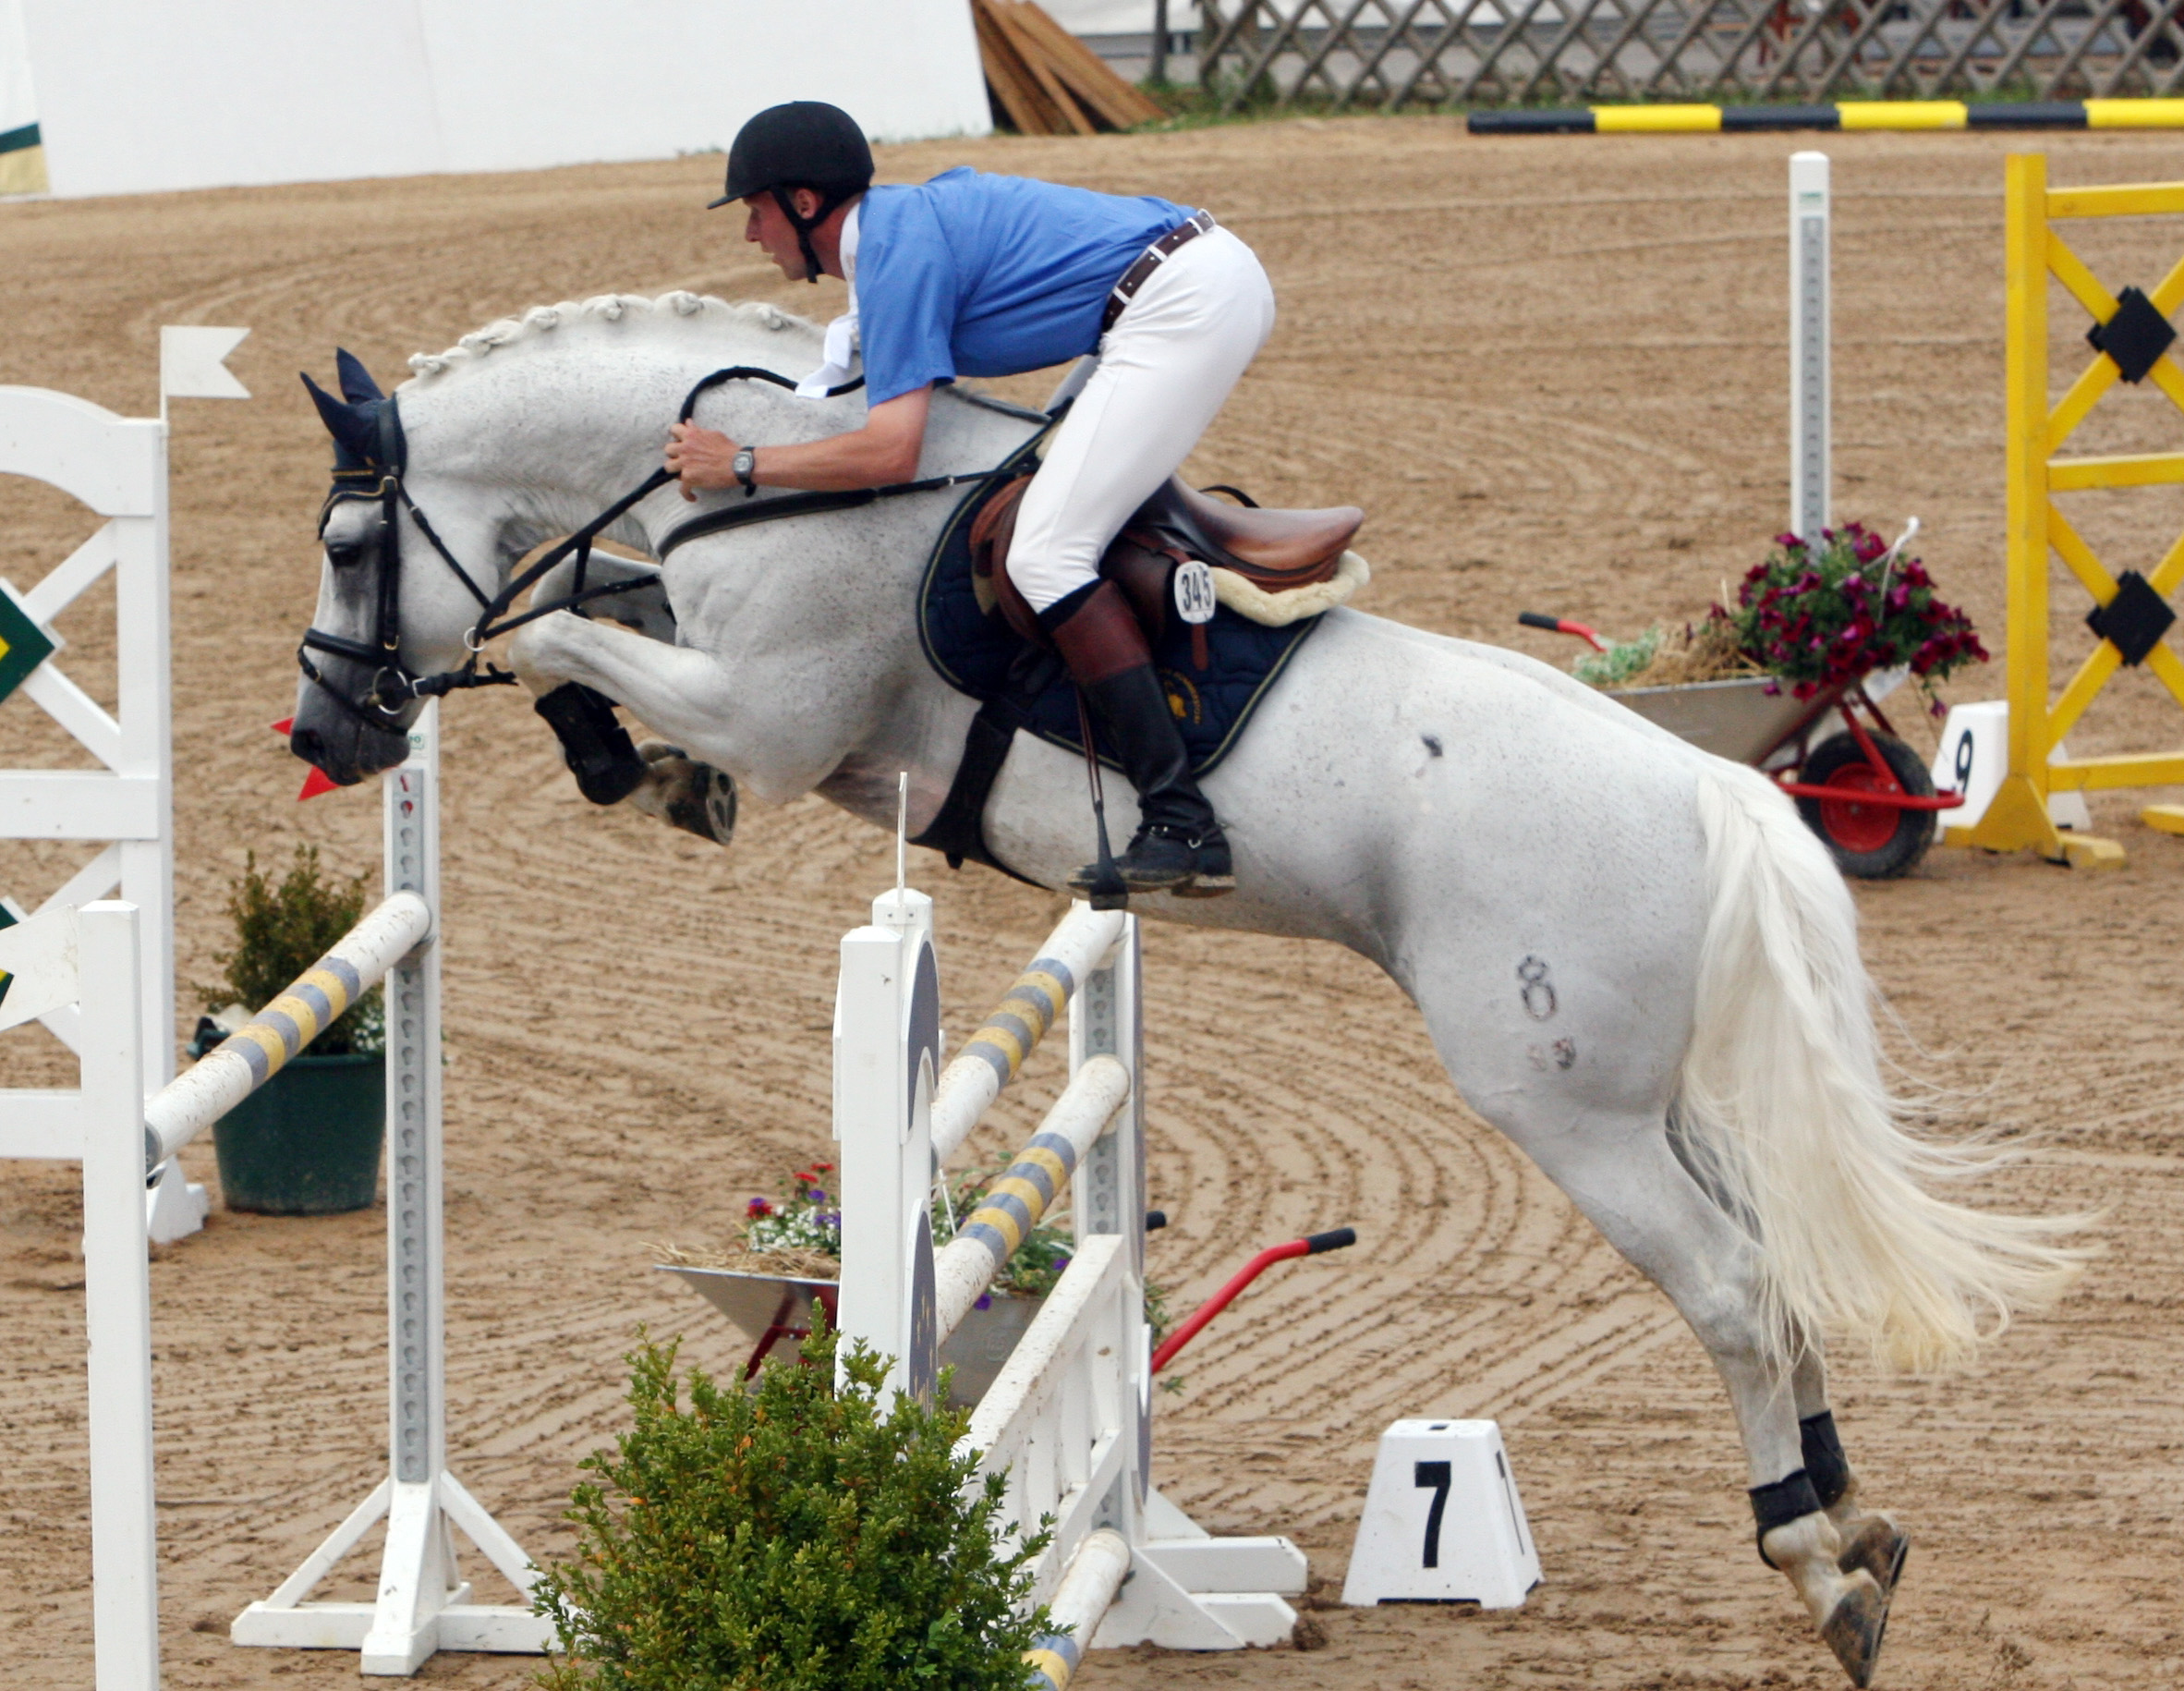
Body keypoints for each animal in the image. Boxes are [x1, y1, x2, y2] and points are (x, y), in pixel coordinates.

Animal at [285, 297, 2079, 1686]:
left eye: (352, 543)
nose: (327, 737)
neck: (767, 483)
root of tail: (1710, 793)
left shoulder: (771, 713)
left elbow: (556, 640)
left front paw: (623, 758)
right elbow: (586, 617)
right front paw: (640, 770)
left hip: (1567, 1110)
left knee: (1726, 1289)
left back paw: (1814, 1564)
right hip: (1652, 1102)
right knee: (1776, 1276)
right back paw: (1855, 1522)